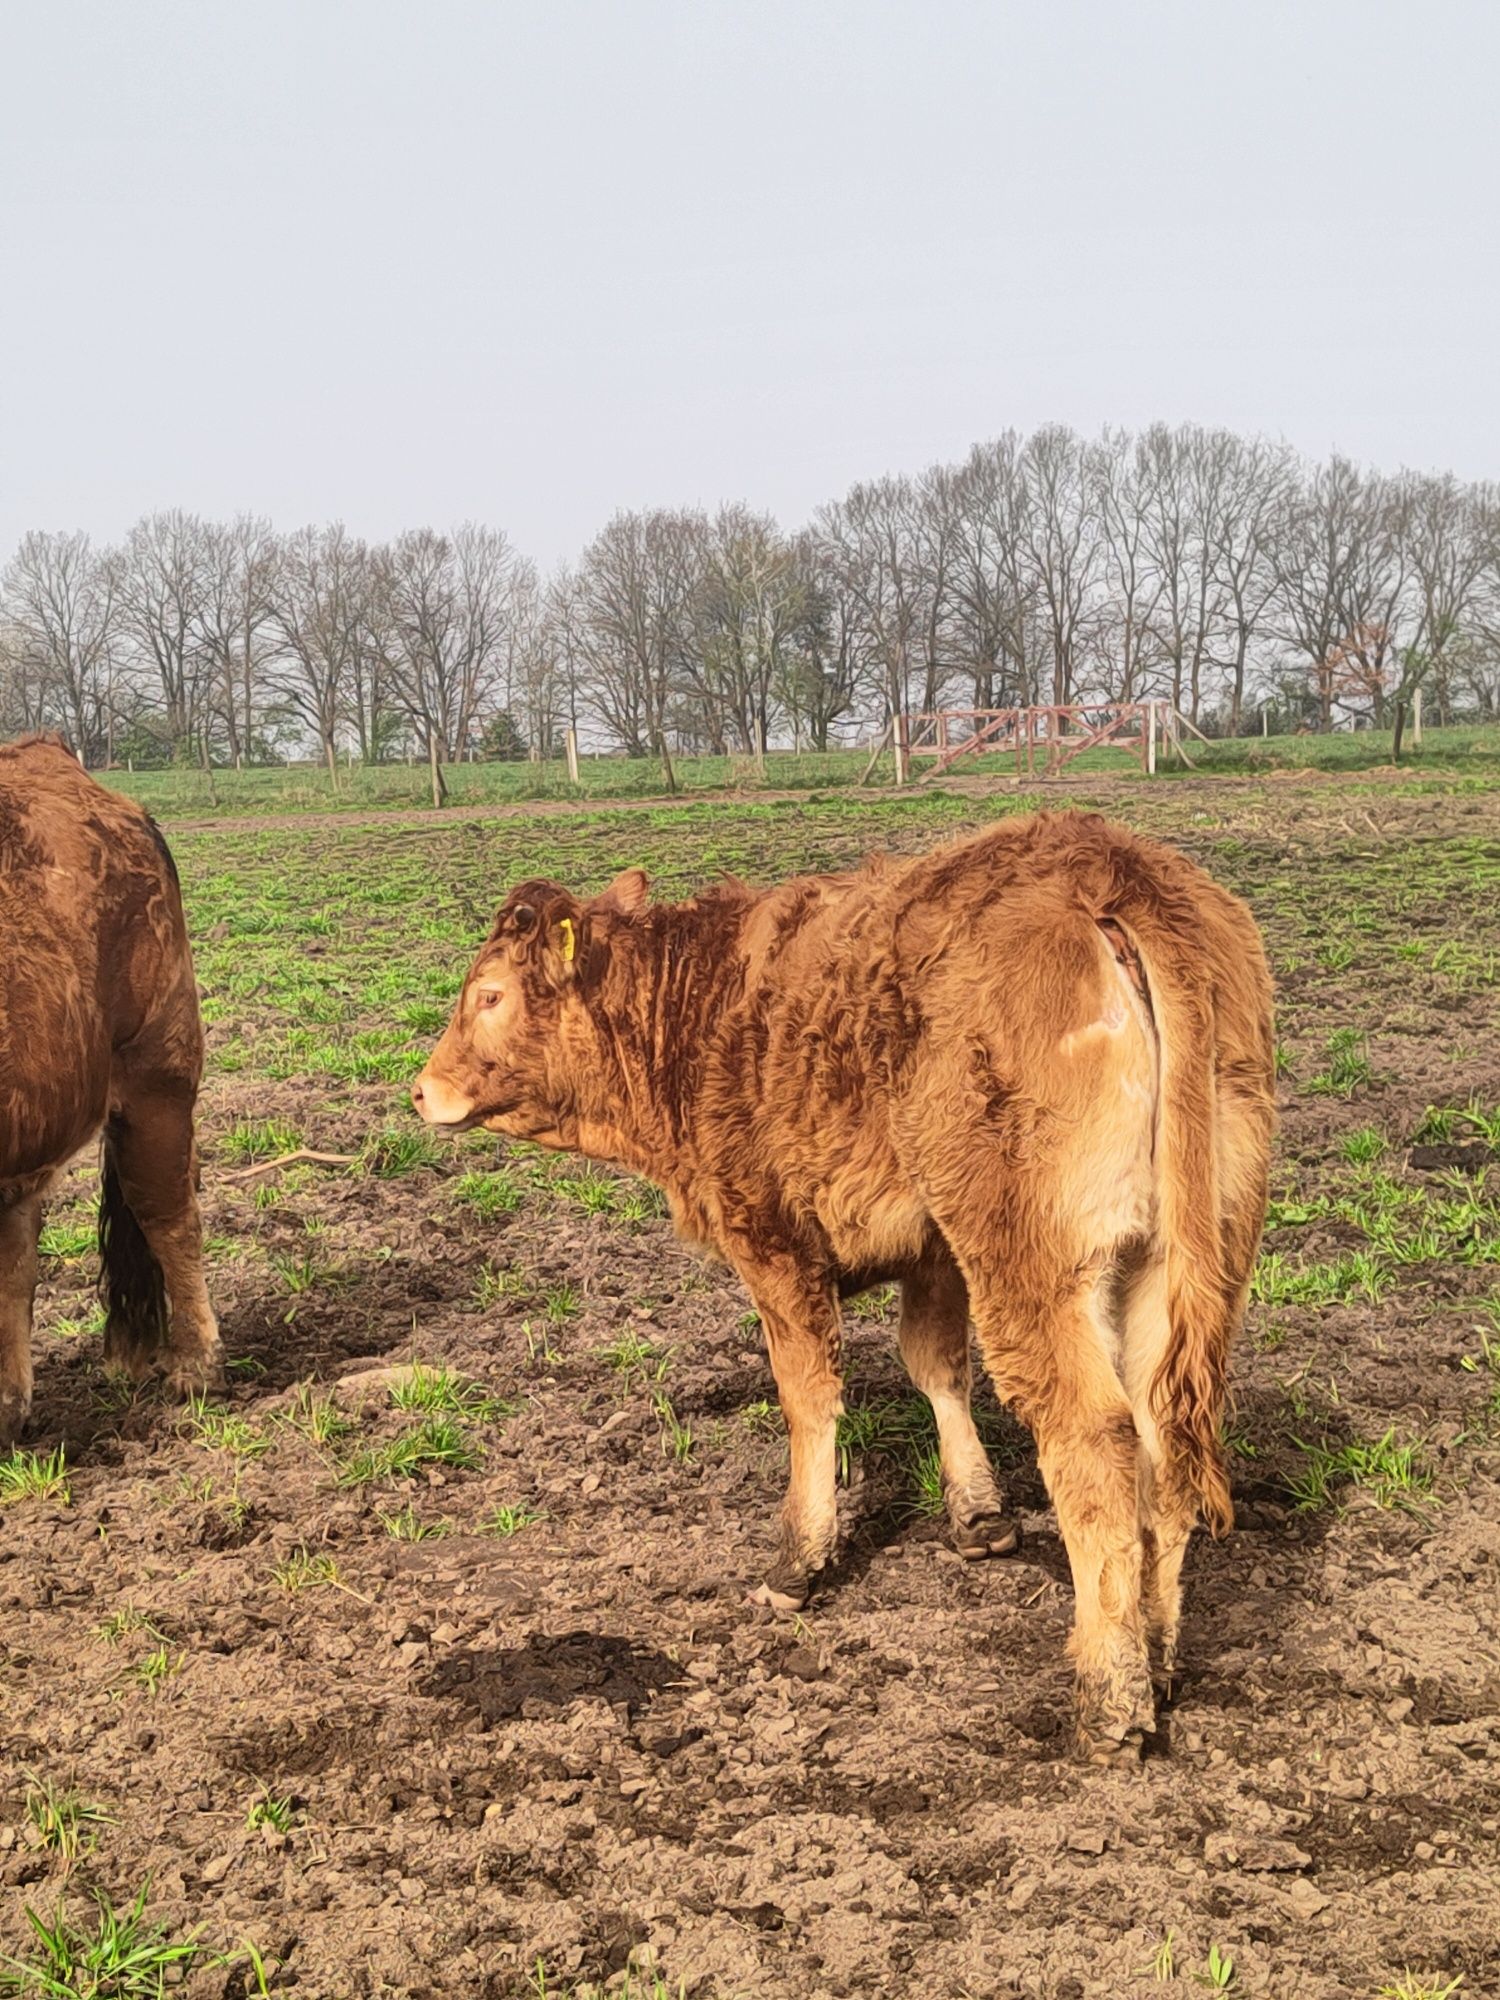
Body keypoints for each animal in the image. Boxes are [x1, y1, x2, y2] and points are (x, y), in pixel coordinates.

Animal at [414, 804, 1280, 1760]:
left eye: (490, 995)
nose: (421, 1089)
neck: (700, 1013)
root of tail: (1105, 863)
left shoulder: (775, 1244)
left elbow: (809, 1398)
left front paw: (799, 1561)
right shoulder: (936, 1250)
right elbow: (936, 1367)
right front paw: (980, 1518)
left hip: (1034, 1257)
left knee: (1094, 1435)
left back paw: (1110, 1697)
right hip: (1182, 1257)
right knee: (1164, 1438)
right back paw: (1156, 1661)